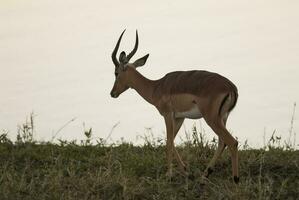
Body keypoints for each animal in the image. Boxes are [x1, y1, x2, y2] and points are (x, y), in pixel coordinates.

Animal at [109, 29, 240, 183]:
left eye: (116, 73)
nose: (112, 93)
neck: (156, 87)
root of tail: (231, 87)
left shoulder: (167, 115)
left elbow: (168, 143)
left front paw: (169, 175)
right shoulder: (179, 118)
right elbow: (172, 141)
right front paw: (186, 171)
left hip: (212, 119)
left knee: (232, 142)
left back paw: (235, 179)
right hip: (223, 117)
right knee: (222, 142)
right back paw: (204, 175)